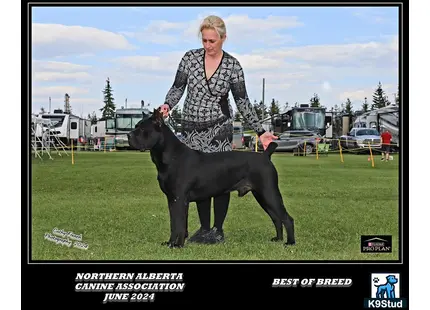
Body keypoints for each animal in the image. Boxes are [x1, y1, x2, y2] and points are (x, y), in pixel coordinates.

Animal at [127, 108, 296, 248]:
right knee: (276, 218)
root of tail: (265, 156)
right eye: (136, 126)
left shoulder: (180, 199)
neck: (170, 156)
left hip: (269, 193)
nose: (128, 135)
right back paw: (278, 239)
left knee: (287, 218)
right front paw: (169, 243)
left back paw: (290, 243)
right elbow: (173, 224)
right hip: (262, 196)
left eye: (142, 129)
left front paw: (178, 245)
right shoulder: (172, 199)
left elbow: (179, 224)